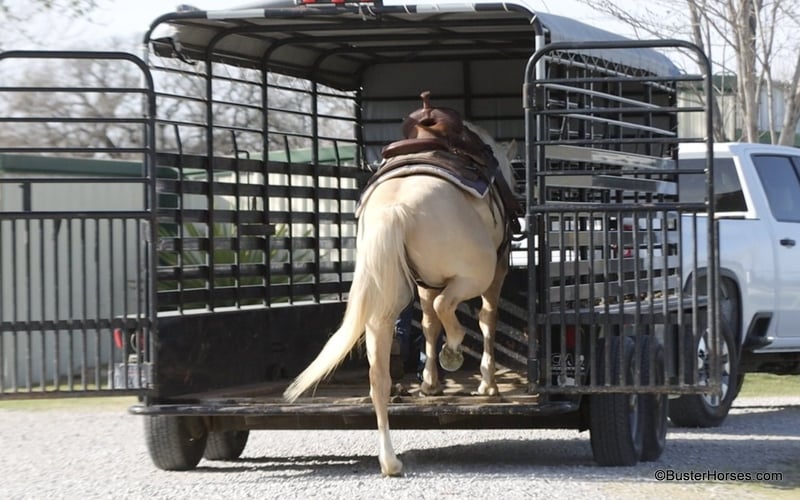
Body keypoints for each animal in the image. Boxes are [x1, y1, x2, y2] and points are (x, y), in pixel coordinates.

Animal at [283, 92, 519, 476]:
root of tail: (394, 209)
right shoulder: (494, 273)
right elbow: (486, 319)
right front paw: (487, 384)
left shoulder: (426, 284)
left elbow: (428, 325)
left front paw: (430, 384)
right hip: (476, 274)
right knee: (448, 309)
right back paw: (454, 351)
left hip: (381, 310)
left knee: (379, 378)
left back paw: (390, 460)